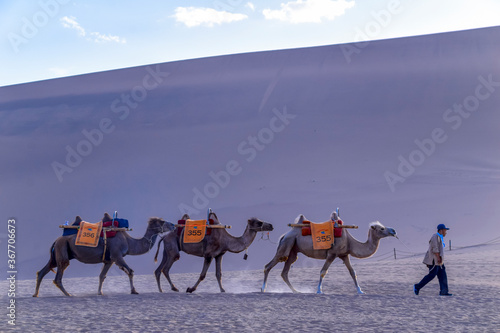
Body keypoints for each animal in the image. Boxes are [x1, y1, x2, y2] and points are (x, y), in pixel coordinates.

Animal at [32, 213, 174, 296]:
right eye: (162, 222)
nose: (173, 225)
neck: (128, 241)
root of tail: (56, 240)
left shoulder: (109, 260)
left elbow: (102, 276)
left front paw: (99, 292)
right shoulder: (117, 255)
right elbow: (131, 271)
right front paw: (134, 291)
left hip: (57, 253)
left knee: (43, 270)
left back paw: (35, 294)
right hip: (62, 249)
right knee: (58, 275)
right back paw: (68, 294)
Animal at [260, 213, 396, 294]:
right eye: (382, 228)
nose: (393, 231)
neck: (350, 241)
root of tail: (284, 235)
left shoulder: (344, 255)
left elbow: (353, 272)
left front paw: (360, 290)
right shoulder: (332, 254)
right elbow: (323, 272)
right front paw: (319, 290)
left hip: (293, 251)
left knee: (285, 272)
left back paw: (296, 291)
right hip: (286, 245)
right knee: (268, 266)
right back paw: (263, 288)